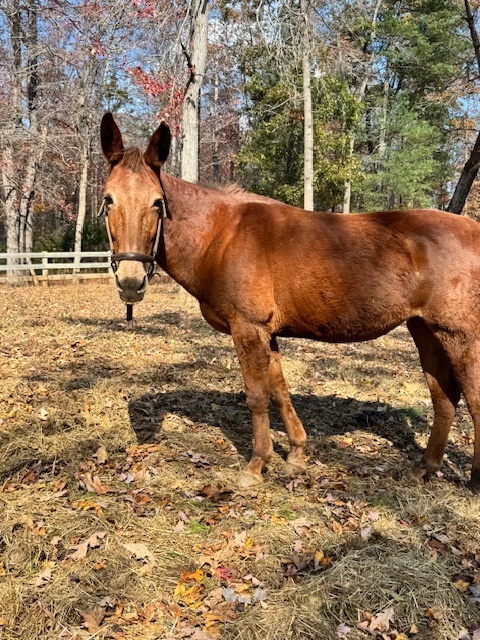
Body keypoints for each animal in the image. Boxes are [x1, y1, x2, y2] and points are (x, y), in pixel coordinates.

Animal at [100, 112, 480, 492]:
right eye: (108, 200)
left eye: (157, 202)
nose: (131, 282)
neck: (221, 236)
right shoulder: (267, 333)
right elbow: (279, 390)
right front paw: (296, 454)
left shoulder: (248, 328)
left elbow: (256, 395)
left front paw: (256, 465)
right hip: (426, 331)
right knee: (444, 399)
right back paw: (424, 467)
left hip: (460, 337)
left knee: (473, 399)